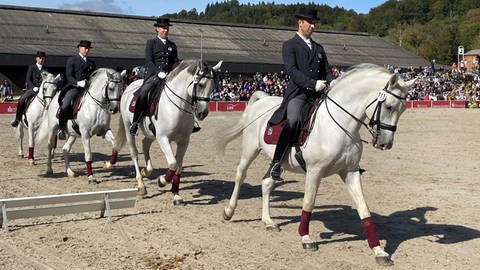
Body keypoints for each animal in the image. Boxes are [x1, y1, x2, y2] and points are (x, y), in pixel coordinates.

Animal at [113, 59, 223, 202]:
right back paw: (141, 185)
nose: (202, 113)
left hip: (151, 133)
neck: (179, 107)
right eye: (200, 85)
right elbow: (173, 164)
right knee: (134, 154)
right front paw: (162, 181)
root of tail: (129, 86)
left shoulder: (184, 141)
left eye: (213, 87)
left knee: (145, 144)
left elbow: (179, 166)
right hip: (129, 129)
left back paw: (146, 171)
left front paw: (176, 194)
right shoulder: (163, 138)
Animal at [217, 63, 416, 266]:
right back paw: (229, 211)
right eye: (389, 106)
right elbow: (309, 202)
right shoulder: (315, 171)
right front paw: (306, 238)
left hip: (277, 162)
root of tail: (262, 100)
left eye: (403, 110)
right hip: (250, 149)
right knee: (240, 174)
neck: (340, 126)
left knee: (267, 182)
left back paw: (269, 221)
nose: (385, 144)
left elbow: (363, 208)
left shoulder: (350, 172)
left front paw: (379, 251)